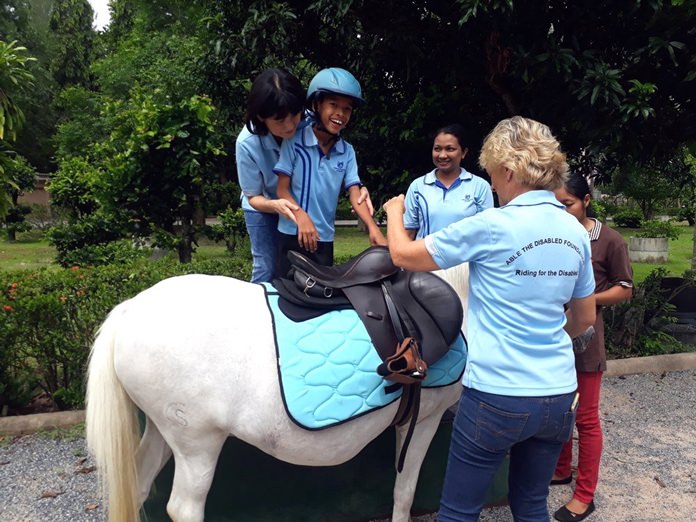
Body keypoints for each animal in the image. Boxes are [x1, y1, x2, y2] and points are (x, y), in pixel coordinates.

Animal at [85, 264, 468, 520]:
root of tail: (129, 311)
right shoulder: (426, 419)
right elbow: (404, 492)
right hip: (197, 444)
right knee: (183, 508)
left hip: (162, 432)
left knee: (138, 483)